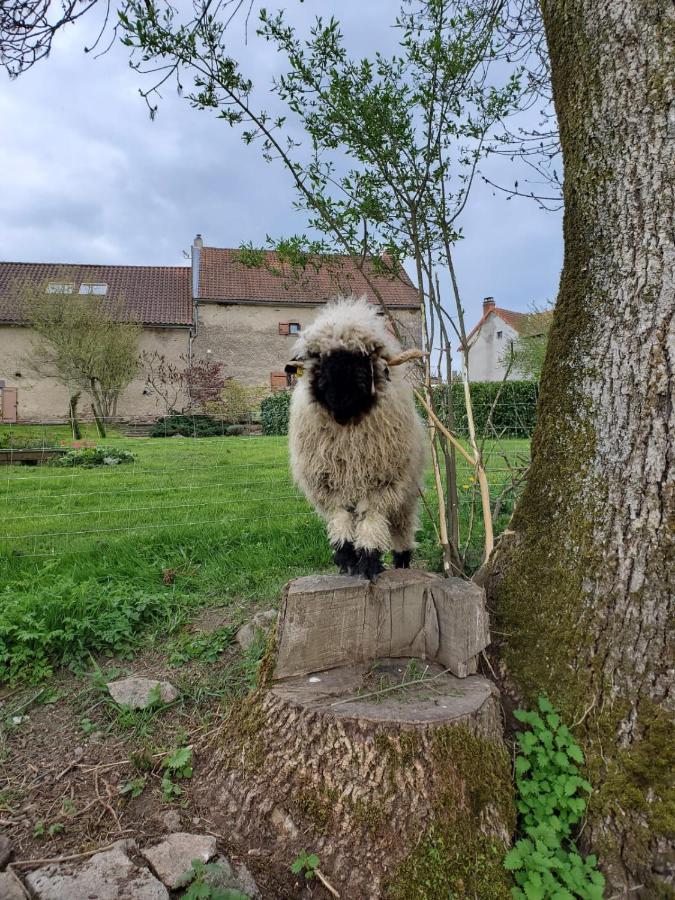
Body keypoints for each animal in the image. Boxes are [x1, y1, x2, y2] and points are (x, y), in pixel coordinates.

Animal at [286, 294, 426, 576]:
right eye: (319, 360)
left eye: (363, 360)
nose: (340, 398)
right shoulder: (328, 482)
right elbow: (341, 517)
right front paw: (346, 558)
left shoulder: (382, 482)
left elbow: (371, 519)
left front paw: (369, 561)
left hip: (406, 492)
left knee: (401, 526)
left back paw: (402, 560)